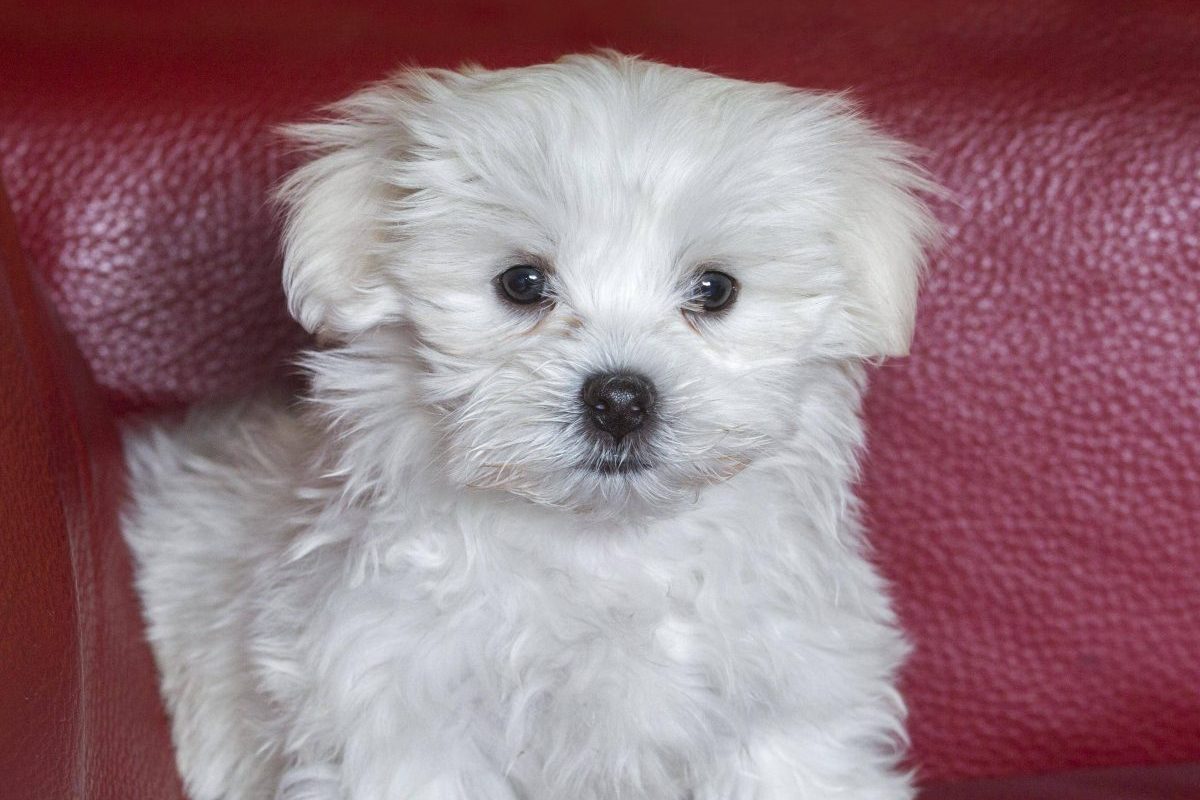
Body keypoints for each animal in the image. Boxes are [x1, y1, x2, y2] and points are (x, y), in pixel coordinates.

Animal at [126, 53, 940, 800]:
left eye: (716, 289)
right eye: (521, 283)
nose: (620, 400)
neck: (606, 550)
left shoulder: (791, 703)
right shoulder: (396, 713)